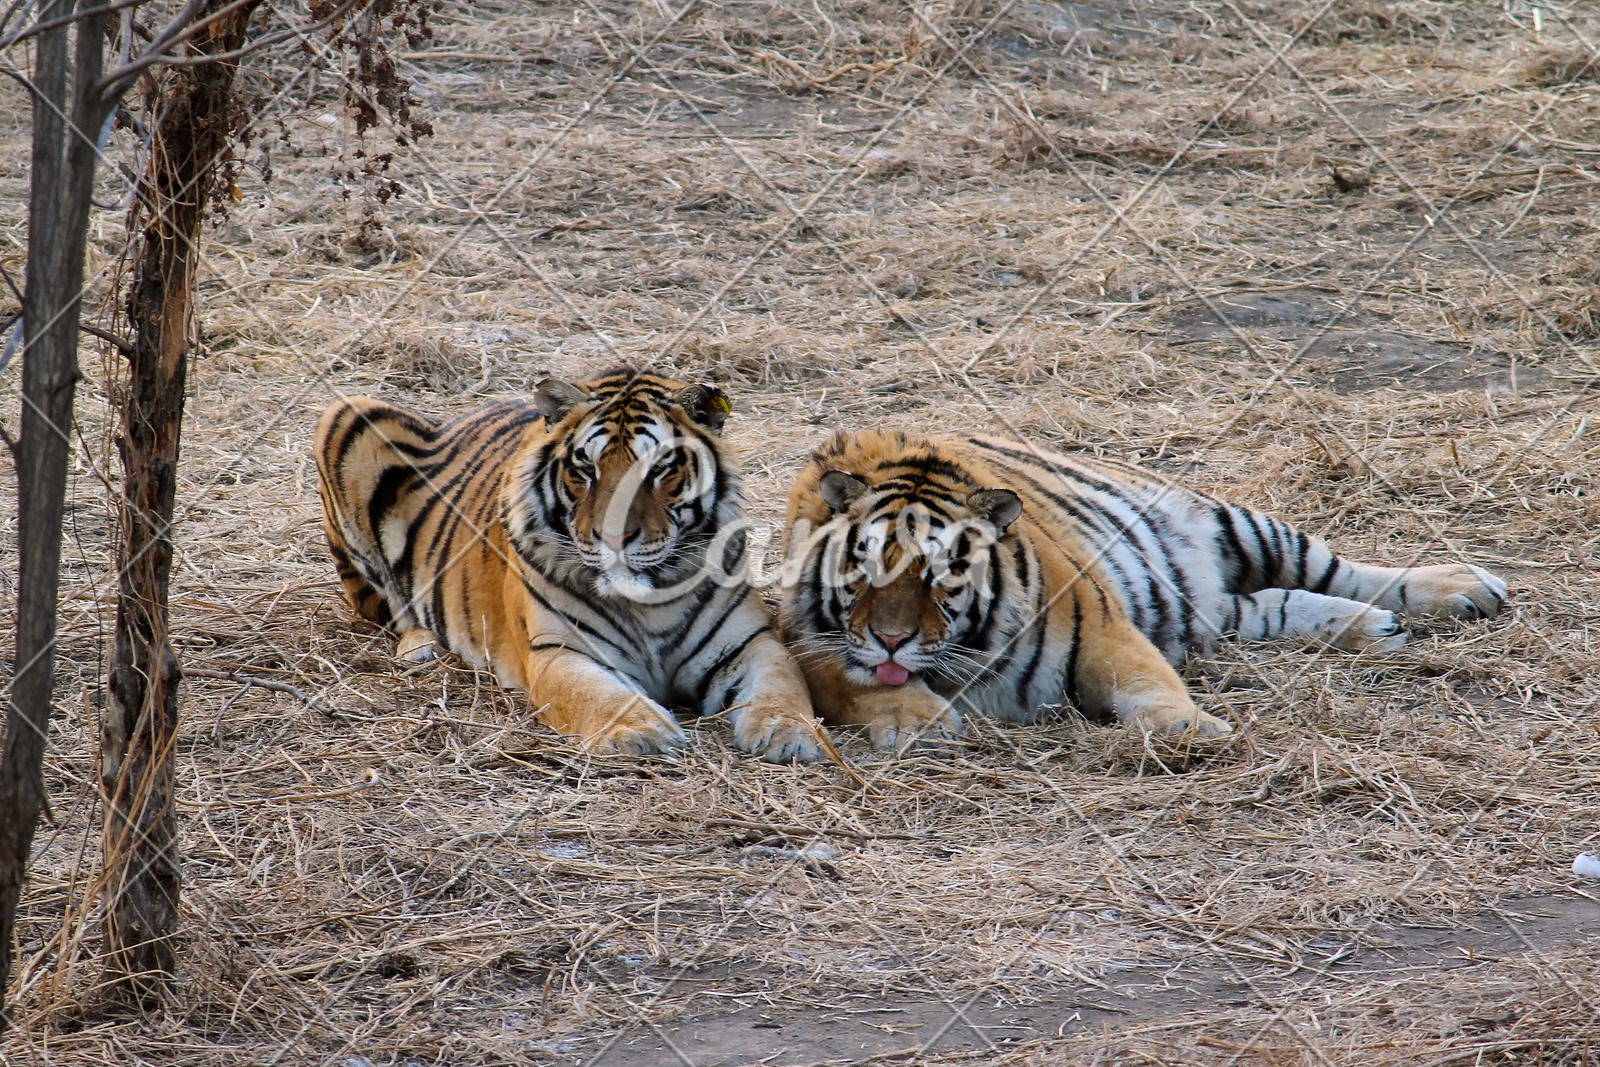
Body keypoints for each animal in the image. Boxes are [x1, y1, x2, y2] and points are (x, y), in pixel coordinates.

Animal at [320, 371, 832, 764]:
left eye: (659, 470)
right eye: (586, 470)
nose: (613, 539)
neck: (649, 601)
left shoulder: (752, 643)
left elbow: (783, 686)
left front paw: (789, 733)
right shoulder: (560, 651)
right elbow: (599, 695)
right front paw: (641, 733)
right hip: (344, 414)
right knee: (388, 609)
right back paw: (421, 647)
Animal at [780, 428, 1504, 751]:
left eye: (941, 574)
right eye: (865, 569)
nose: (892, 639)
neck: (966, 659)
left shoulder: (1101, 625)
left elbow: (1145, 681)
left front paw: (1190, 726)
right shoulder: (810, 641)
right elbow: (857, 683)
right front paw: (915, 718)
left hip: (1238, 524)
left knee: (1337, 568)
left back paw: (1465, 586)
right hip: (1216, 608)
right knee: (1278, 602)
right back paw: (1375, 627)